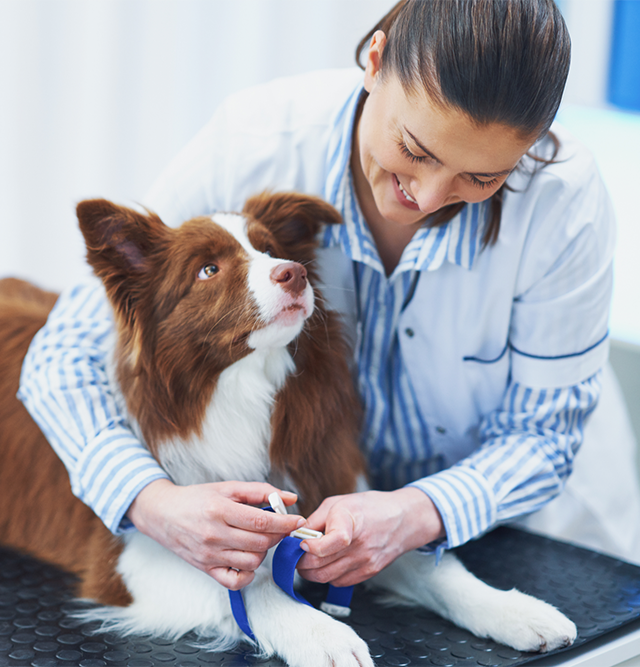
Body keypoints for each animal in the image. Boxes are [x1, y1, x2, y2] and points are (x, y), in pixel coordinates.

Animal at [0, 193, 576, 667]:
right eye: (208, 269)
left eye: (270, 247)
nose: (294, 272)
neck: (239, 389)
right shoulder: (129, 556)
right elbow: (246, 586)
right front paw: (319, 633)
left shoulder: (327, 495)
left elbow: (425, 563)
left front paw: (515, 610)